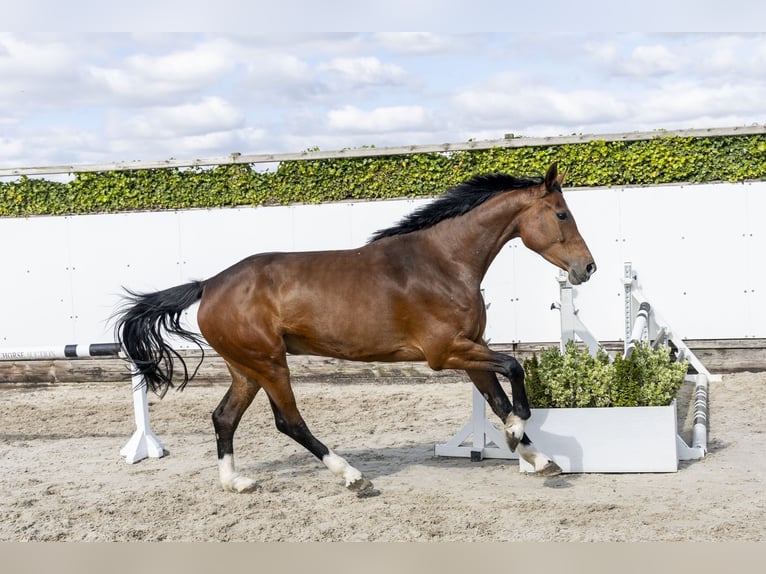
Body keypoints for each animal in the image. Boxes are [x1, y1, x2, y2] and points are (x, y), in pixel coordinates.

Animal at [116, 163, 596, 496]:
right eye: (561, 214)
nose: (587, 268)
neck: (443, 262)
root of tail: (209, 284)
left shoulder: (471, 348)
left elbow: (497, 399)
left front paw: (537, 456)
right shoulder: (446, 352)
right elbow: (514, 368)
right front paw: (515, 435)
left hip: (245, 368)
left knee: (224, 417)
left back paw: (236, 483)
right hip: (269, 363)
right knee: (289, 421)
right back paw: (353, 477)